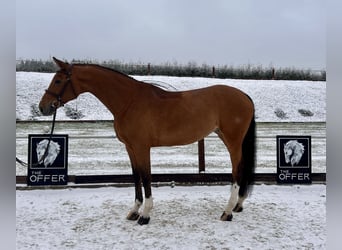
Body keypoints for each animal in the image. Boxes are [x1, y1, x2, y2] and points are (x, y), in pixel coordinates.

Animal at [38, 57, 255, 226]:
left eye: (58, 81)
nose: (43, 107)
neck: (129, 102)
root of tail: (244, 96)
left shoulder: (142, 148)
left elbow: (146, 176)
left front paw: (145, 215)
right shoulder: (130, 148)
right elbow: (136, 177)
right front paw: (134, 211)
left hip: (232, 141)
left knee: (236, 169)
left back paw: (227, 211)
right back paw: (238, 205)